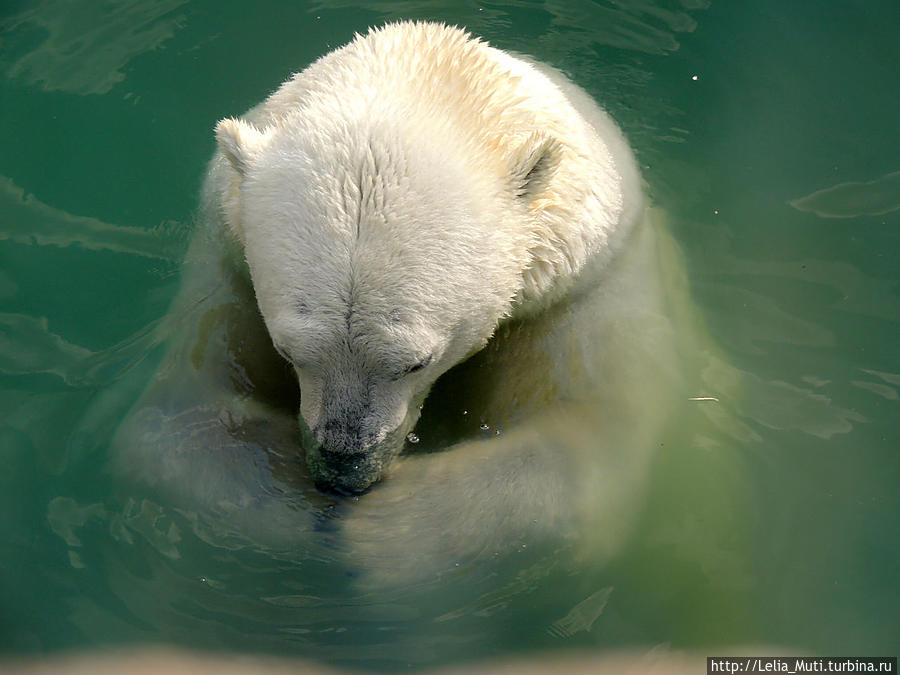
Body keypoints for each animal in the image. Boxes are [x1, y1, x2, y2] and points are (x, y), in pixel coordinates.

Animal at [107, 23, 696, 584]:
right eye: (289, 351)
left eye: (416, 362)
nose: (342, 470)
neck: (434, 71)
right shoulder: (228, 270)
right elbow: (176, 423)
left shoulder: (573, 293)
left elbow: (577, 453)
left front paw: (373, 530)